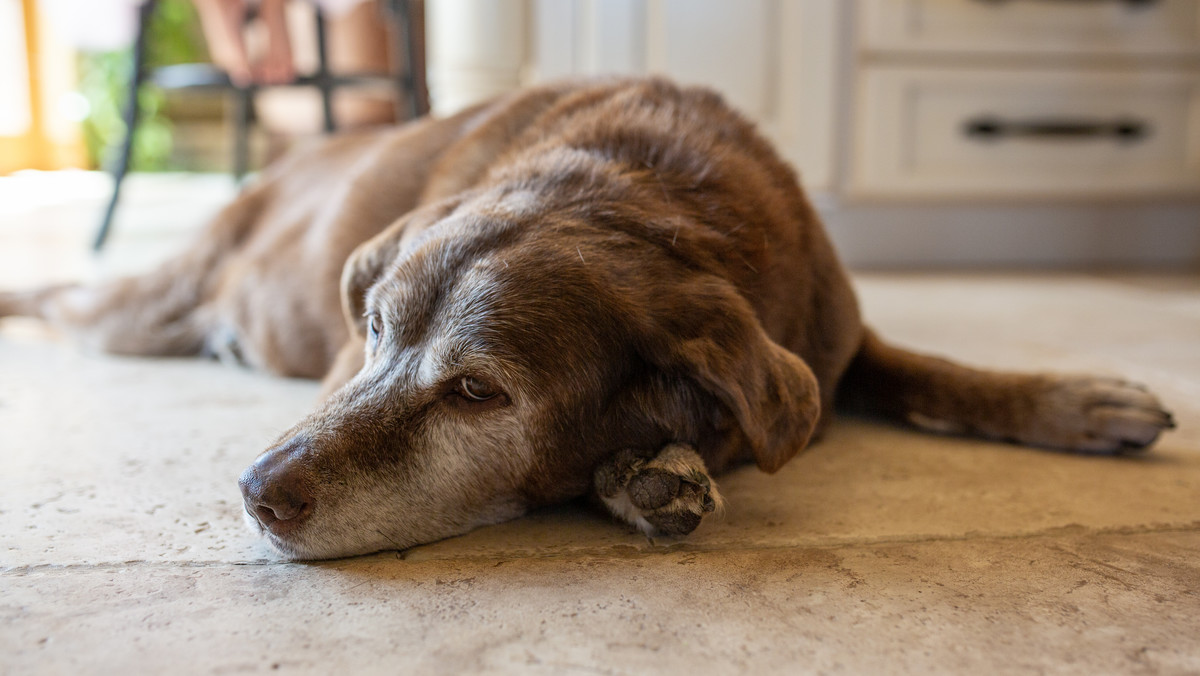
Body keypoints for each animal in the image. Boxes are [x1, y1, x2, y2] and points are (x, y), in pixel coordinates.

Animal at [0, 76, 1171, 557]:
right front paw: (647, 471)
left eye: (478, 391)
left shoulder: (834, 338)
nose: (253, 492)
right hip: (146, 305)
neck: (637, 187)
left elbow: (932, 367)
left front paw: (1078, 400)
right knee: (68, 301)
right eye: (373, 332)